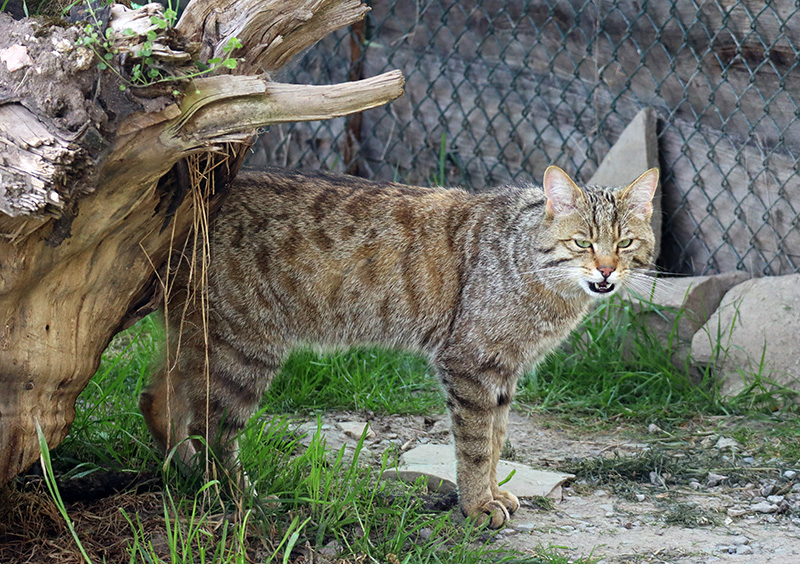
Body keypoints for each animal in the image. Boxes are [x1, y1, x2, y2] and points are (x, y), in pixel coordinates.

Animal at [141, 164, 660, 528]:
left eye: (626, 243)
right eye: (582, 243)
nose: (607, 271)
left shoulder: (503, 372)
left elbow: (496, 440)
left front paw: (493, 493)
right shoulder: (470, 364)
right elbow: (476, 446)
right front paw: (477, 505)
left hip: (202, 338)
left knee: (157, 400)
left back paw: (181, 473)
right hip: (245, 349)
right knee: (210, 428)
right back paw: (235, 495)